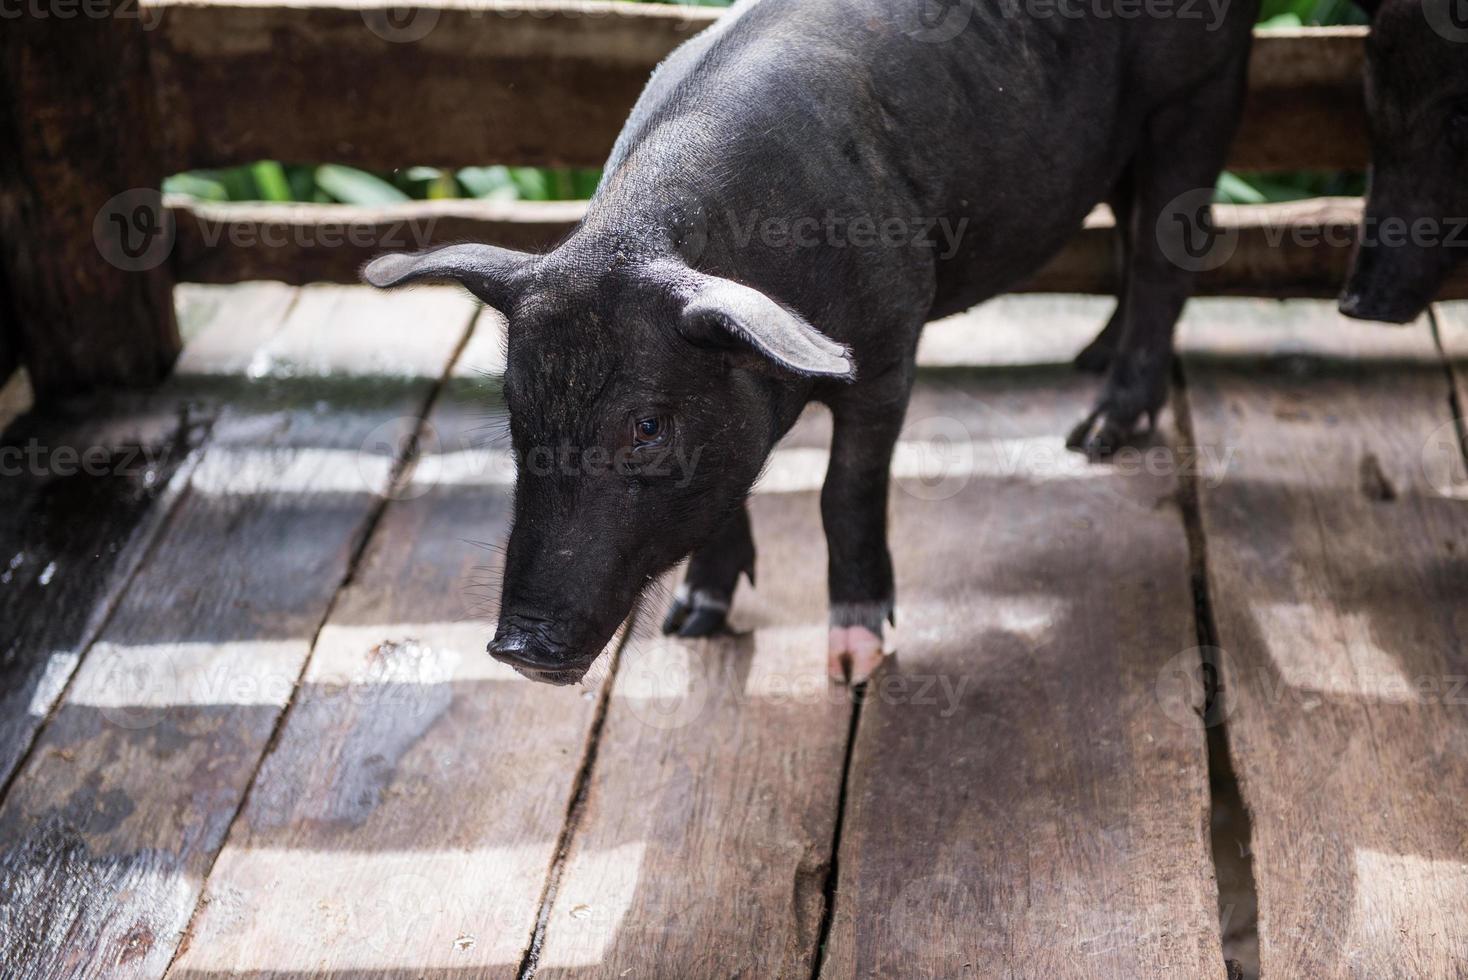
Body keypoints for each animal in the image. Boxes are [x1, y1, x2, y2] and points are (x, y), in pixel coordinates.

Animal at [367, 0, 1262, 686]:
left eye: (647, 426)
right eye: (517, 417)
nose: (518, 647)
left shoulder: (891, 342)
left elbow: (845, 492)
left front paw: (856, 663)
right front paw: (695, 623)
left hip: (1201, 84)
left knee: (1165, 250)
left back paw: (1096, 435)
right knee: (1126, 223)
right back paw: (1089, 357)